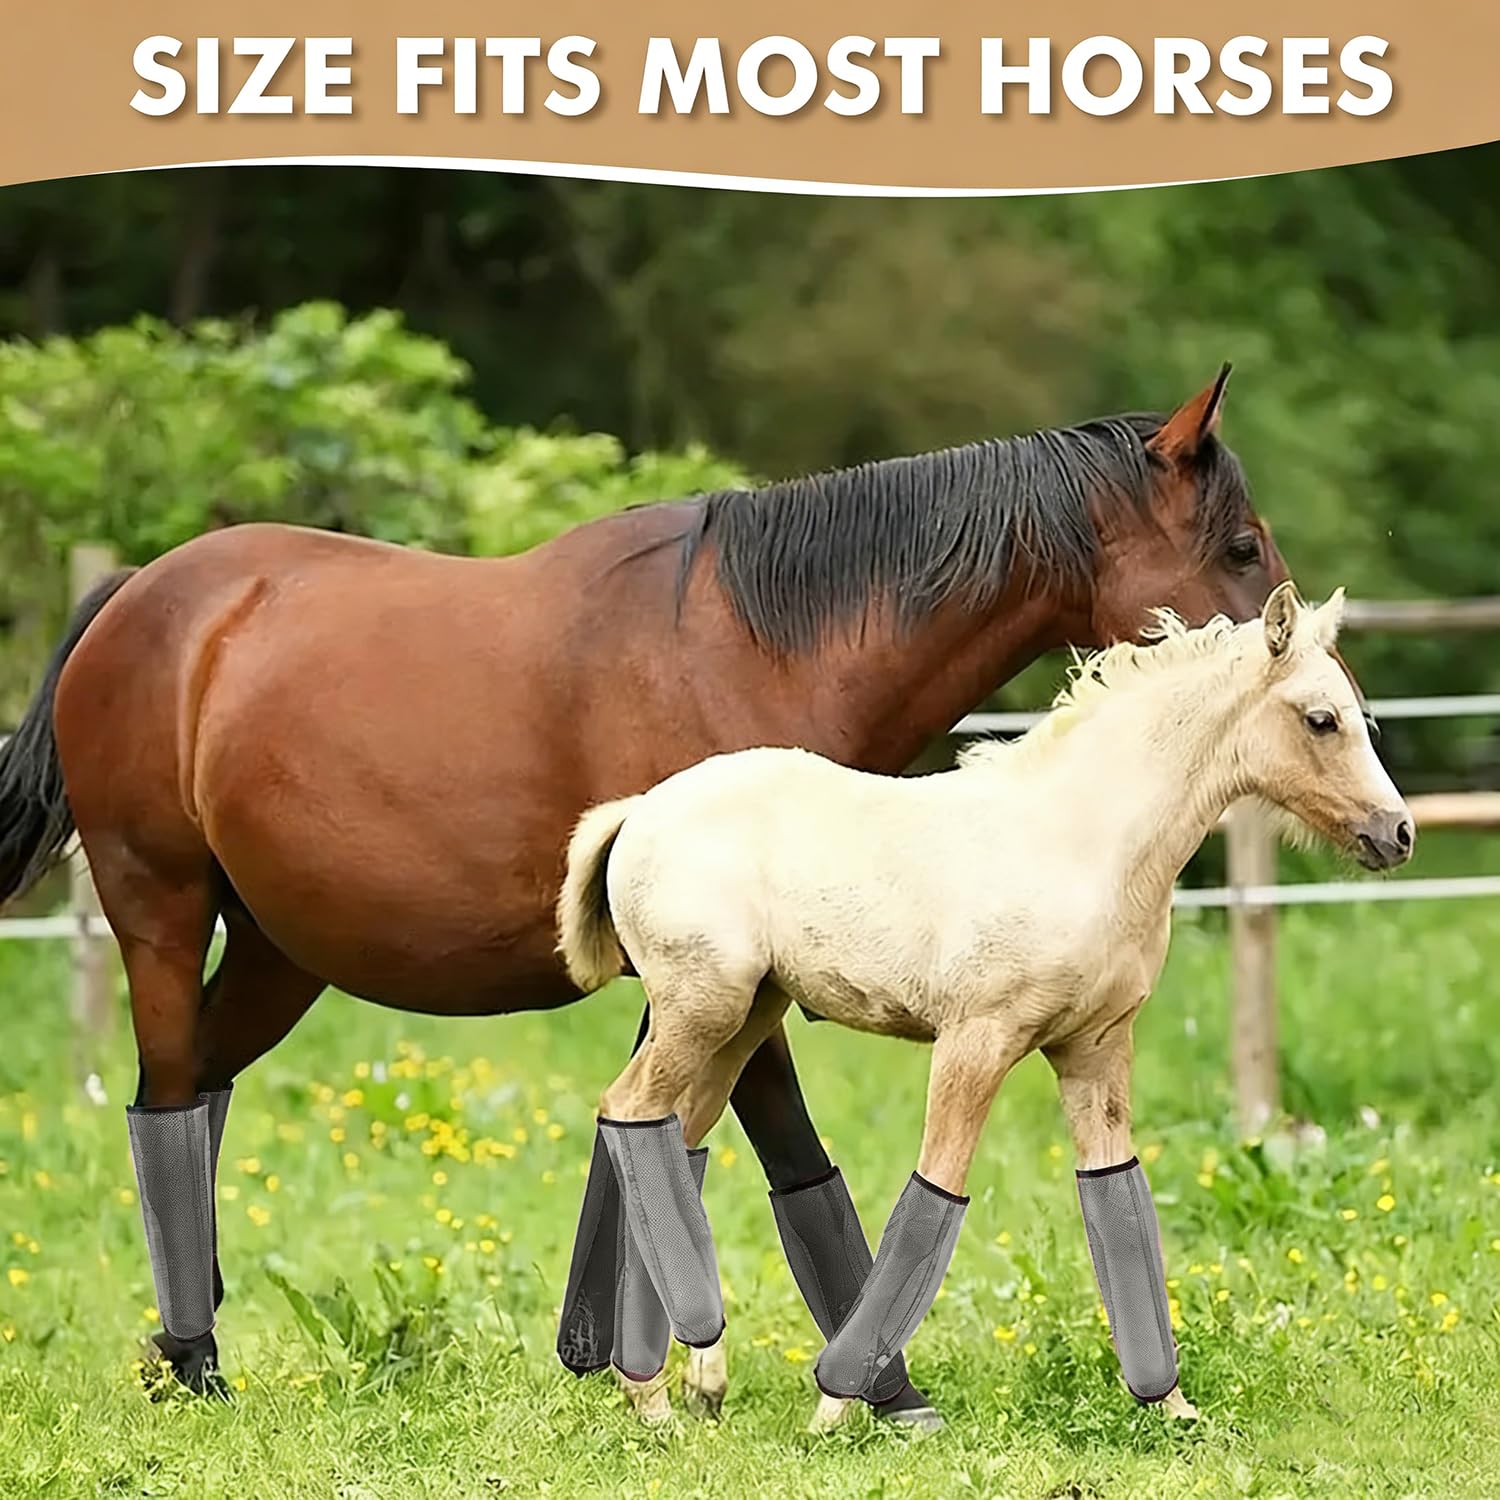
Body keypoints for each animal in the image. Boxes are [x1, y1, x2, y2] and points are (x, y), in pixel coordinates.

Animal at [0, 367, 1304, 1422]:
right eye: (1242, 546)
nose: (1308, 664)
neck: (760, 649)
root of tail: (138, 596)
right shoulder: (739, 977)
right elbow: (780, 1153)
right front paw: (877, 1389)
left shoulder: (715, 981)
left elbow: (664, 1147)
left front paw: (614, 1358)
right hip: (161, 911)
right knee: (167, 1102)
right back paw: (198, 1363)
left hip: (282, 953)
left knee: (194, 1090)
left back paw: (178, 1347)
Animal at [557, 583, 1413, 1431]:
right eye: (1321, 719)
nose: (1397, 833)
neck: (1082, 843)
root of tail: (638, 809)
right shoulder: (977, 1039)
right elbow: (937, 1188)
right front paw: (838, 1401)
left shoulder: (1097, 1048)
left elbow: (1117, 1195)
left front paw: (1171, 1406)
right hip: (702, 1008)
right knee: (628, 1110)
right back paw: (655, 1393)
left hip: (744, 1020)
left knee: (674, 1133)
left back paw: (681, 1381)